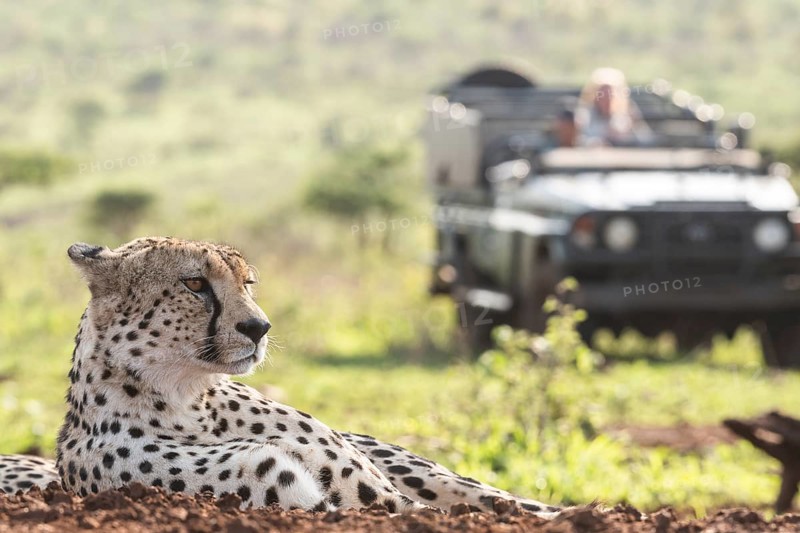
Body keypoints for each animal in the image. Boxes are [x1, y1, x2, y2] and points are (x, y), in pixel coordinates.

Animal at [0, 237, 561, 516]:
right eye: (194, 283)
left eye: (247, 282)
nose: (259, 326)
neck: (186, 399)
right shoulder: (310, 498)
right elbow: (407, 512)